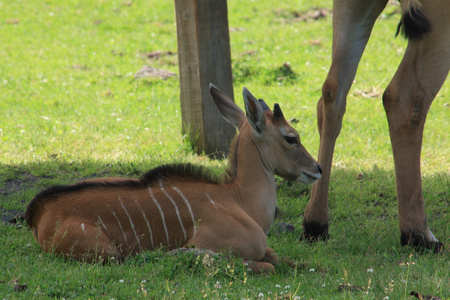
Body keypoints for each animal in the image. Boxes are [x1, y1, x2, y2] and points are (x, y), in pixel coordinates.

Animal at [24, 84, 322, 274]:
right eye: (291, 137)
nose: (317, 168)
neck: (239, 200)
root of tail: (39, 211)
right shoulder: (215, 246)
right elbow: (266, 265)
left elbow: (277, 256)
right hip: (109, 253)